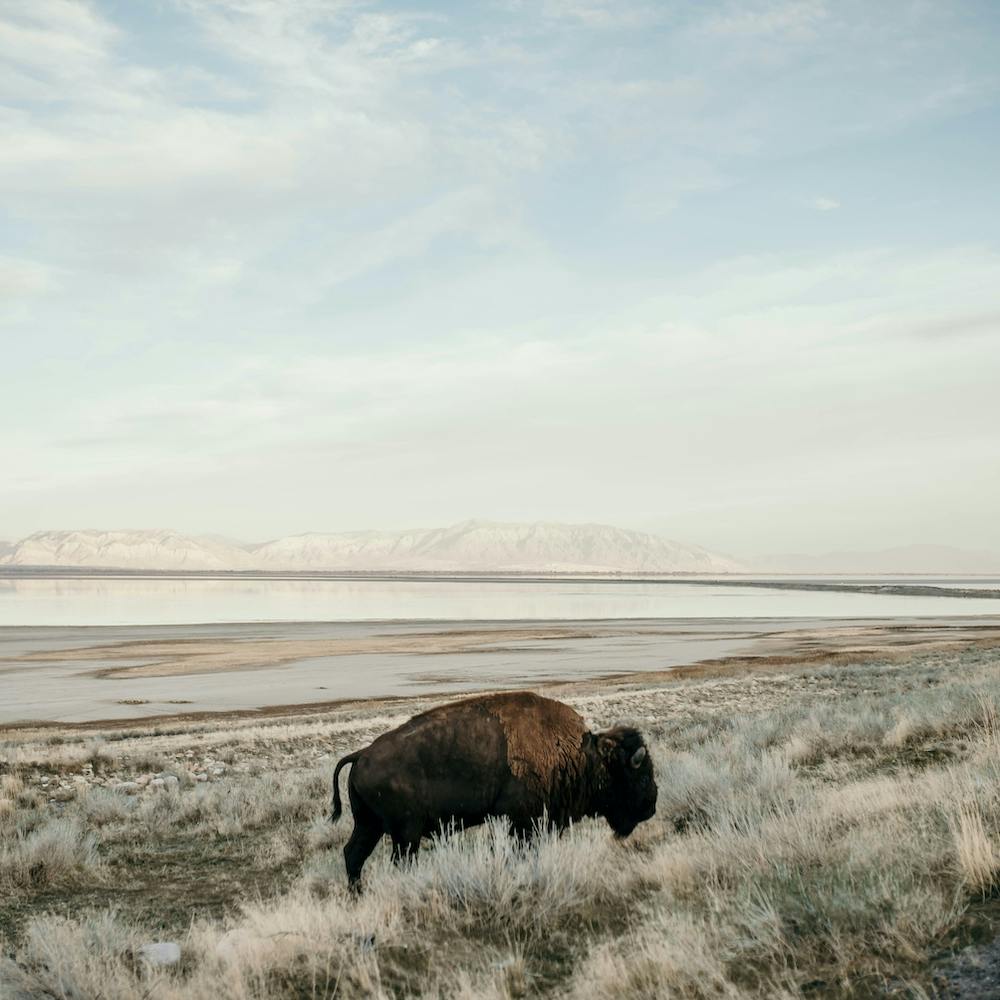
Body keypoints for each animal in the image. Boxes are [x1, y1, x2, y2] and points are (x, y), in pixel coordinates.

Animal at [329, 690, 657, 886]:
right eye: (640, 776)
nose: (651, 807)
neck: (581, 755)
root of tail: (362, 754)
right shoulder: (521, 823)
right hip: (404, 833)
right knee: (397, 859)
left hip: (369, 824)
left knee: (353, 854)